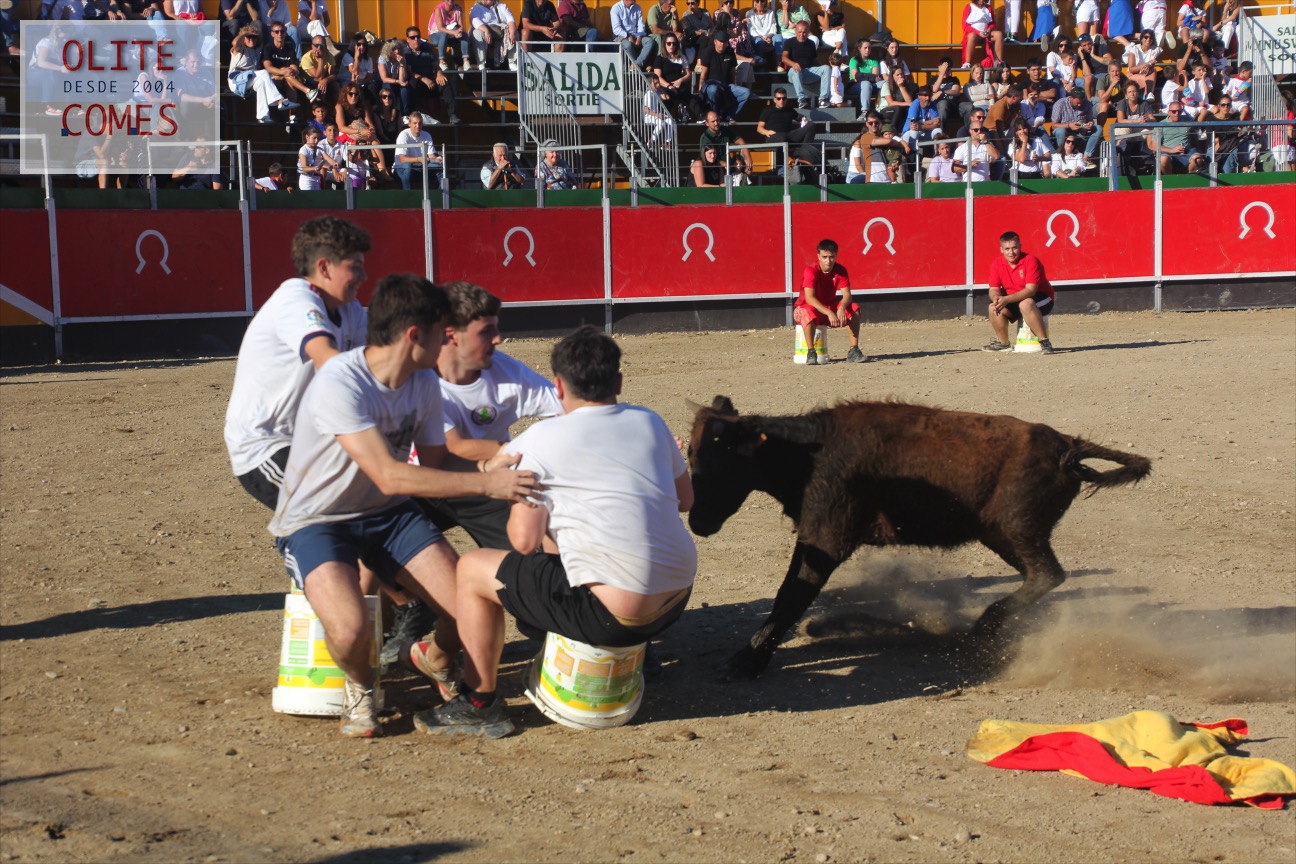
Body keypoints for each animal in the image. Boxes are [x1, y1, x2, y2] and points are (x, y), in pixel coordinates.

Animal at [687, 396, 1152, 679]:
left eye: (718, 455)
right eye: (691, 454)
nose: (697, 522)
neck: (808, 452)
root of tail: (1066, 446)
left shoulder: (828, 534)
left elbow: (790, 596)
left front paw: (748, 660)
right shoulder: (815, 534)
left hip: (1015, 529)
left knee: (1047, 575)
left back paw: (982, 629)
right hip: (1006, 535)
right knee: (1042, 576)